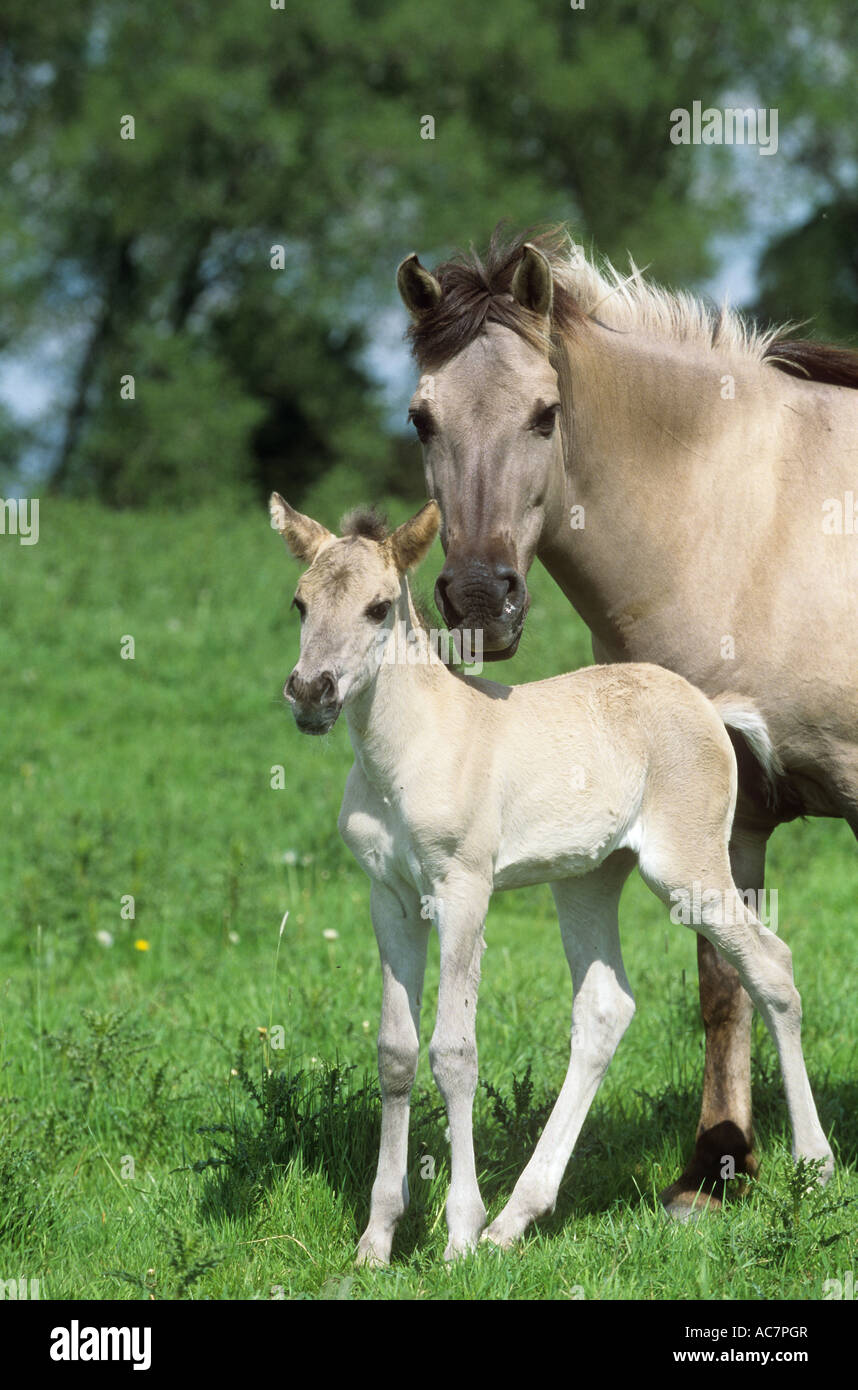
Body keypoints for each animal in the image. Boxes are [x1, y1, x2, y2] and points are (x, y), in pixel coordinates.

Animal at [271, 494, 834, 1267]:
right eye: (299, 603)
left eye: (378, 608)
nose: (310, 694)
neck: (408, 752)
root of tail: (708, 708)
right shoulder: (389, 897)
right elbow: (396, 1052)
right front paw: (376, 1241)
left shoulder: (463, 890)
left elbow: (454, 1051)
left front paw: (458, 1235)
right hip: (588, 878)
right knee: (604, 1008)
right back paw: (518, 1218)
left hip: (687, 870)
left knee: (771, 967)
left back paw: (815, 1165)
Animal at [394, 225, 856, 1217]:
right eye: (421, 420)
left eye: (545, 414)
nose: (480, 599)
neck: (751, 526)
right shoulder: (725, 815)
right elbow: (725, 982)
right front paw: (716, 1167)